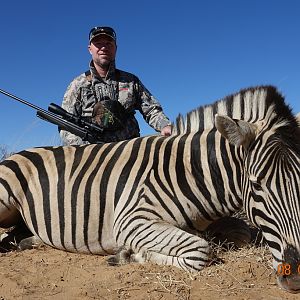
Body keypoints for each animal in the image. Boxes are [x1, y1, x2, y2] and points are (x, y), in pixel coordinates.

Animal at [0, 84, 298, 292]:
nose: (293, 275)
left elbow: (242, 234)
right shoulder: (131, 220)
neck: (190, 174)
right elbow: (200, 250)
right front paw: (127, 255)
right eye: (257, 184)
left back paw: (32, 240)